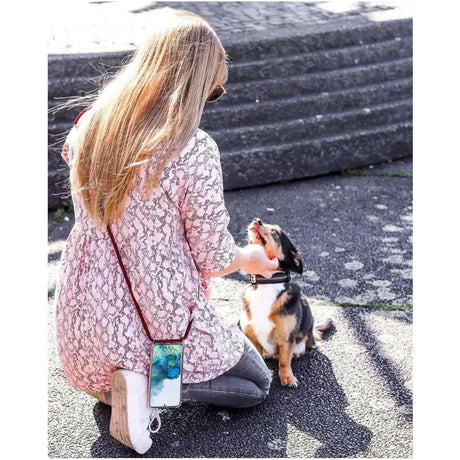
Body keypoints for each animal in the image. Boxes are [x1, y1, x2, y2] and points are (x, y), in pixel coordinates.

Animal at [239, 217, 332, 386]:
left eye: (275, 232)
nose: (257, 220)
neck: (267, 284)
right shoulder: (252, 335)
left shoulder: (287, 339)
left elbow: (284, 360)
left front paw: (287, 377)